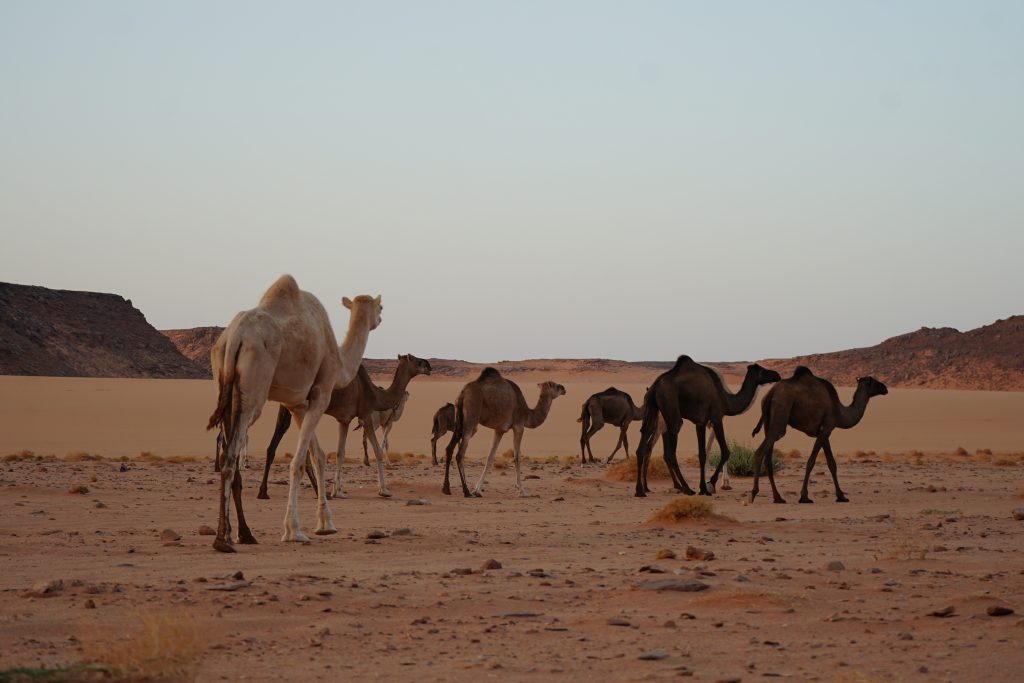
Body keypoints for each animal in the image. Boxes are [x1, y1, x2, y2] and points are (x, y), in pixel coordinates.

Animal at [205, 274, 382, 552]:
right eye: (380, 307)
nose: (380, 318)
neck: (340, 361)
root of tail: (235, 338)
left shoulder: (298, 404)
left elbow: (318, 456)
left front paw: (326, 524)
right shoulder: (321, 394)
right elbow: (298, 462)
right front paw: (293, 530)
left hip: (223, 385)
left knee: (227, 454)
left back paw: (242, 534)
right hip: (253, 392)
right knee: (232, 455)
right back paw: (224, 540)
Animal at [260, 356, 432, 499]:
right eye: (417, 360)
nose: (429, 366)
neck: (374, 394)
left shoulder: (344, 420)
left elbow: (340, 452)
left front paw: (338, 491)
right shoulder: (365, 415)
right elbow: (377, 449)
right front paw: (384, 490)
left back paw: (265, 492)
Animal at [442, 368, 569, 497]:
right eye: (555, 385)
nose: (564, 388)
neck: (527, 414)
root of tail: (462, 394)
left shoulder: (499, 430)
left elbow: (490, 457)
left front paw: (477, 489)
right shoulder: (519, 426)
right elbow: (517, 457)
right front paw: (522, 491)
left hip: (459, 421)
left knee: (449, 448)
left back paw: (446, 489)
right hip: (471, 419)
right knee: (460, 454)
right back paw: (466, 491)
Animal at [630, 358, 782, 497]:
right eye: (763, 371)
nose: (777, 375)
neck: (725, 399)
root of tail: (654, 387)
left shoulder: (700, 422)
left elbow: (702, 453)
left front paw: (703, 487)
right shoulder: (716, 418)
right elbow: (725, 451)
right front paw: (710, 485)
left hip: (652, 409)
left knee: (643, 441)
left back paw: (640, 490)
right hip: (670, 407)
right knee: (670, 451)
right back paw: (686, 488)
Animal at [745, 366, 888, 505]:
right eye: (874, 382)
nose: (885, 388)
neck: (840, 412)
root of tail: (771, 393)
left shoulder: (823, 432)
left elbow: (832, 463)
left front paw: (841, 496)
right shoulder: (827, 428)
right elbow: (811, 461)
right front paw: (804, 497)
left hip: (768, 422)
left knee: (768, 458)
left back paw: (778, 498)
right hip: (781, 415)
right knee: (760, 451)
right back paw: (753, 493)